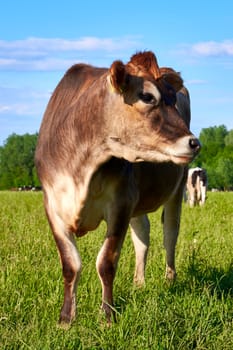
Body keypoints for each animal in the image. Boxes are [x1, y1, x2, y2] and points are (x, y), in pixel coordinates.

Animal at [35, 50, 200, 326]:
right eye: (147, 96)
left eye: (172, 98)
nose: (194, 142)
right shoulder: (53, 205)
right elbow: (70, 264)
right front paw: (66, 319)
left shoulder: (120, 203)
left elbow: (106, 262)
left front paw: (107, 316)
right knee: (143, 234)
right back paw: (139, 283)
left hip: (176, 190)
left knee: (170, 234)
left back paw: (169, 280)